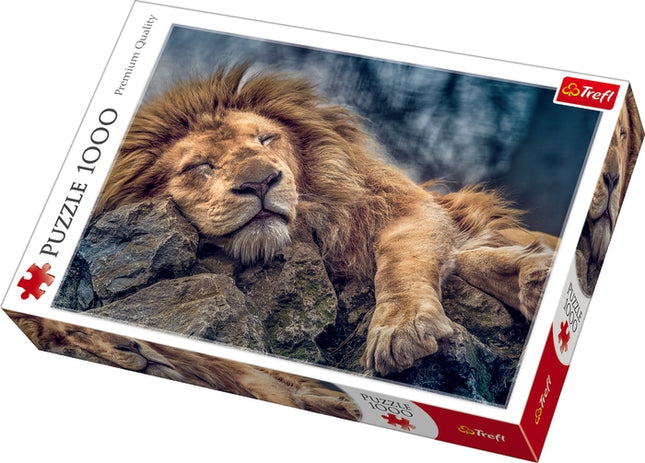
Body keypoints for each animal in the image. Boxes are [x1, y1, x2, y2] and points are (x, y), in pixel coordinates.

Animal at [94, 63, 556, 376]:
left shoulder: (409, 208)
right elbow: (470, 258)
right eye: (200, 166)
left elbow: (402, 263)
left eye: (266, 139)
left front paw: (401, 329)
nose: (260, 182)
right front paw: (532, 273)